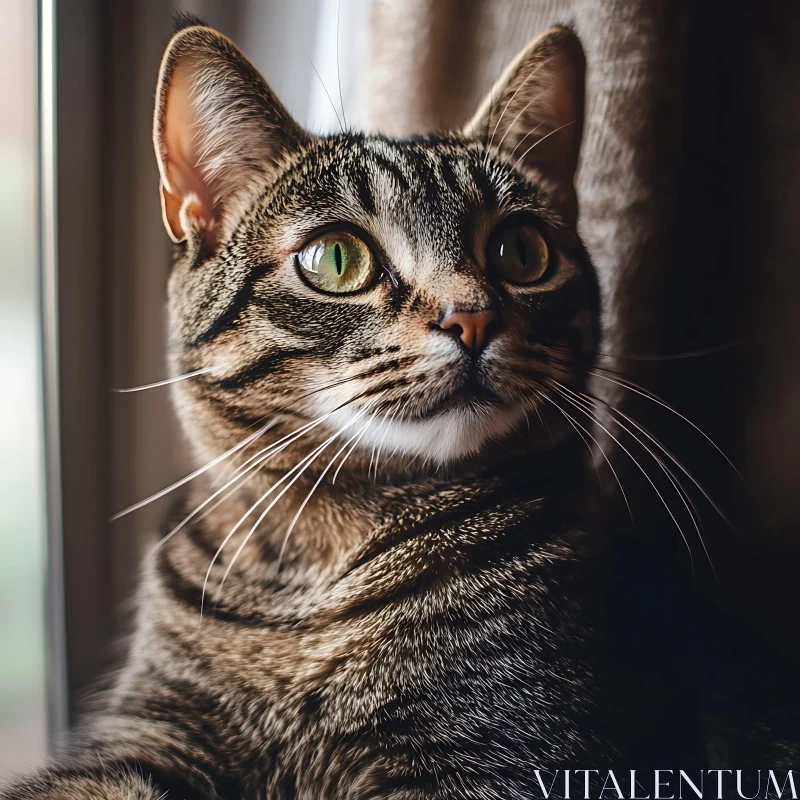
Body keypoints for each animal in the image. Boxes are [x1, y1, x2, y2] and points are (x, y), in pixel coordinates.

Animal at [3, 12, 796, 800]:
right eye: (336, 259)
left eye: (522, 250)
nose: (472, 316)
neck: (308, 576)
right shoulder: (150, 735)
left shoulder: (502, 756)